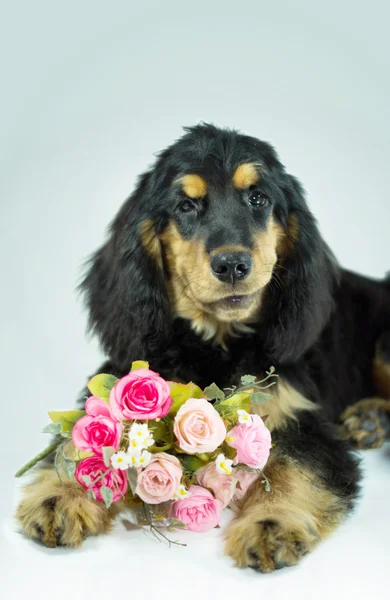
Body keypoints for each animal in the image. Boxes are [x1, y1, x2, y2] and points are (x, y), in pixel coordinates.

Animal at [16, 123, 390, 572]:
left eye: (258, 198)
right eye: (186, 205)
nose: (231, 265)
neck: (217, 343)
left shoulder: (304, 419)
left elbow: (294, 469)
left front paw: (271, 524)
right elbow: (81, 445)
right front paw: (59, 496)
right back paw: (370, 421)